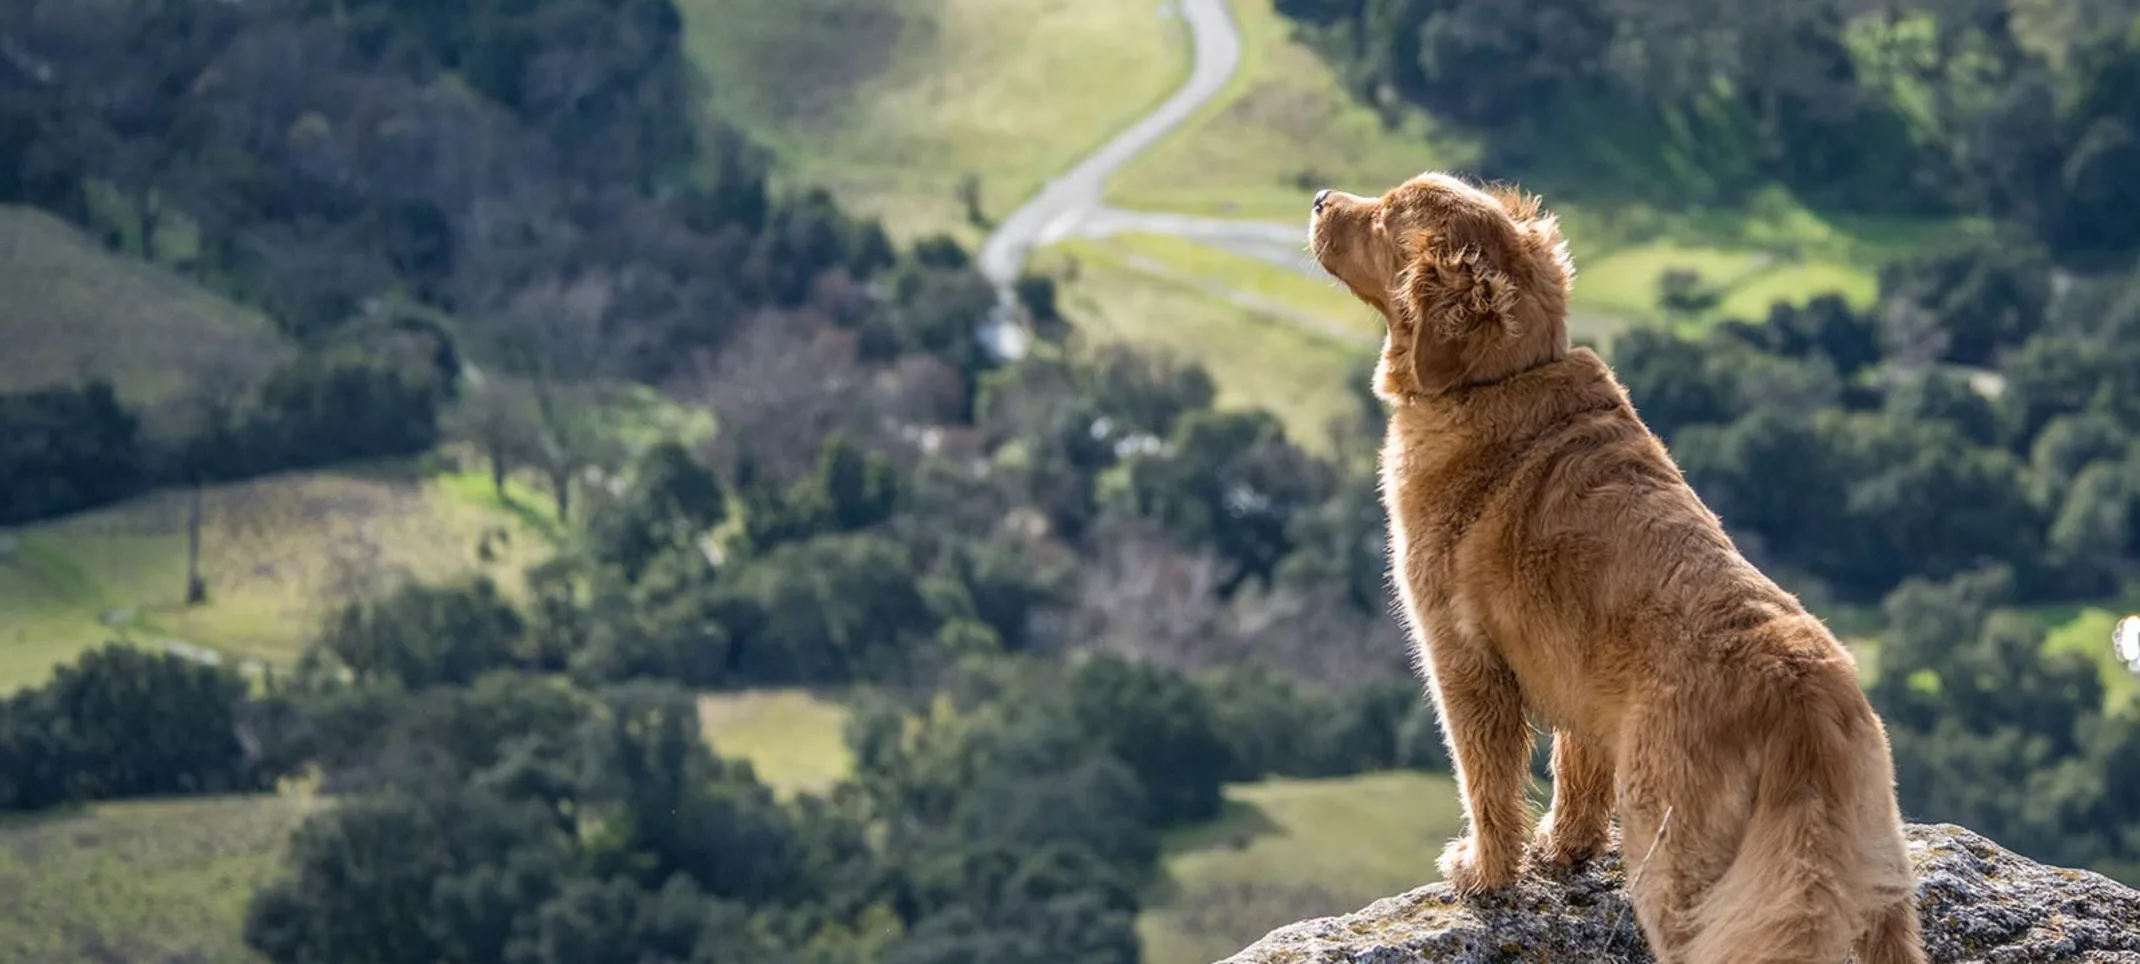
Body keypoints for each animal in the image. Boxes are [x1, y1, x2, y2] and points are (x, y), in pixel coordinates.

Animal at [1301, 174, 1926, 964]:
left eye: (1385, 215)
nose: (1321, 198)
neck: (1498, 378)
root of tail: (1802, 705)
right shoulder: (1577, 678)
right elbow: (1576, 772)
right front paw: (1563, 850)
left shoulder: (1465, 661)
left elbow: (1487, 784)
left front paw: (1484, 871)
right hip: (1877, 882)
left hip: (1680, 864)